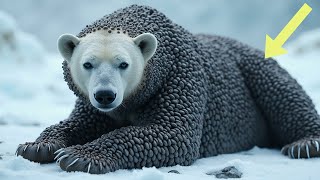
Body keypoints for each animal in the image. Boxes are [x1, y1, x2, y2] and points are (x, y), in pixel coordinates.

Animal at [16, 4, 320, 174]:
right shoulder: (93, 104)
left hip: (252, 69)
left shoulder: (180, 77)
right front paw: (37, 146)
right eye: (87, 64)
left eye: (123, 64)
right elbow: (80, 122)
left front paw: (79, 156)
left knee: (282, 92)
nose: (105, 95)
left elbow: (172, 133)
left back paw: (305, 143)